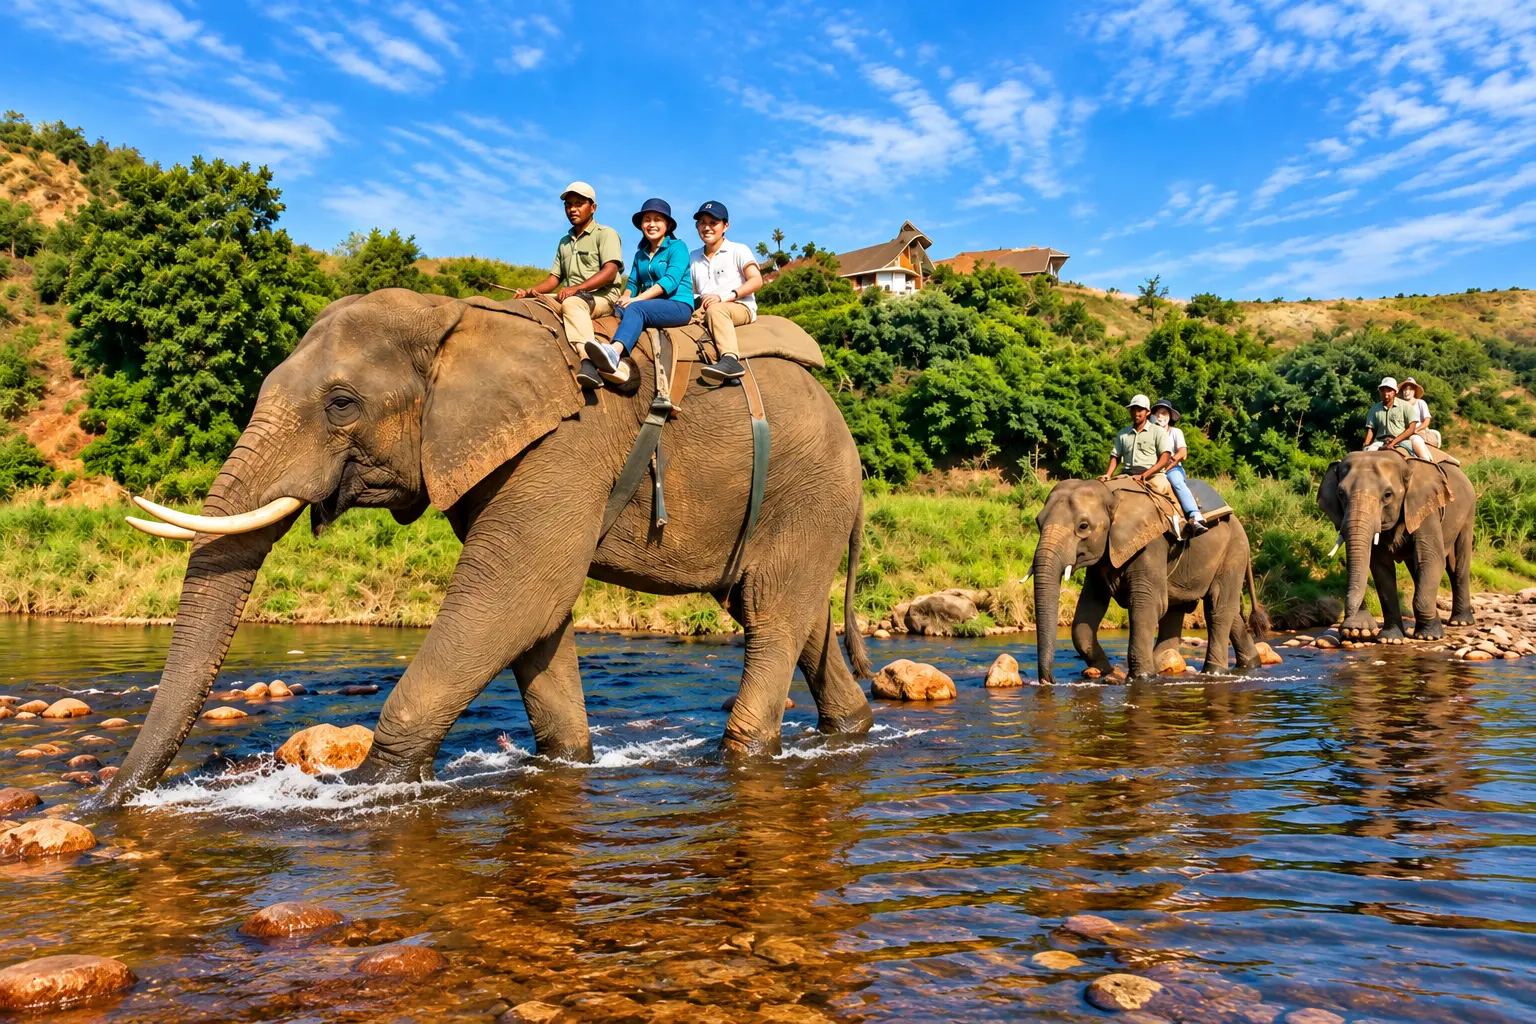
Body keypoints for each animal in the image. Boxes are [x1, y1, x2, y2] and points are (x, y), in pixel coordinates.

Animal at [97, 288, 875, 807]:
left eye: (342, 404)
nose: (110, 803)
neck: (458, 319)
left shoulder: (562, 445)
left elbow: (513, 597)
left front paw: (367, 786)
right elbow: (538, 622)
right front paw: (569, 763)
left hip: (807, 491)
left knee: (770, 618)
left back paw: (741, 753)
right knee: (790, 617)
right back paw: (850, 730)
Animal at [1030, 478, 1267, 683]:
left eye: (1083, 526)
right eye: (1038, 523)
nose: (1049, 681)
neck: (1111, 493)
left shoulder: (1151, 543)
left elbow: (1146, 603)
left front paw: (1141, 678)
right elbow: (1087, 611)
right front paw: (1107, 672)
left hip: (1233, 551)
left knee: (1217, 607)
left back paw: (1214, 672)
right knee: (1200, 609)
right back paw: (1248, 664)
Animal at [1318, 451, 1476, 641]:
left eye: (1387, 495)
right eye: (1340, 494)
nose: (1347, 627)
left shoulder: (1425, 508)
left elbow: (1431, 558)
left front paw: (1429, 637)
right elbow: (1381, 567)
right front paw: (1389, 638)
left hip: (1468, 512)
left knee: (1456, 566)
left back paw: (1461, 622)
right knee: (1419, 570)